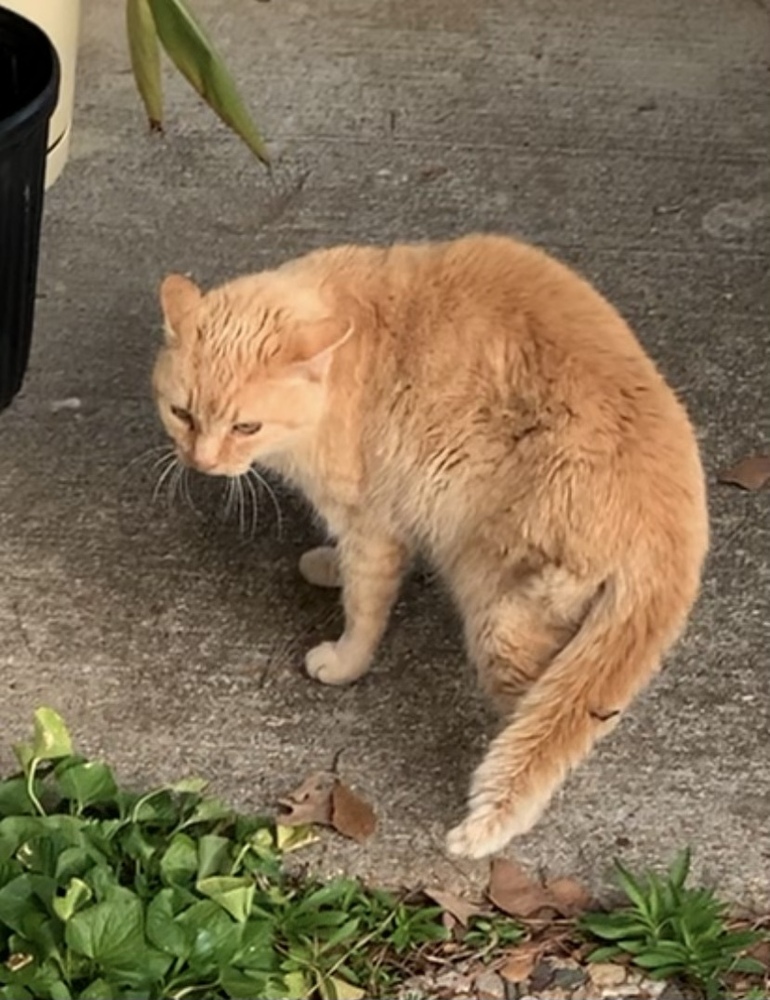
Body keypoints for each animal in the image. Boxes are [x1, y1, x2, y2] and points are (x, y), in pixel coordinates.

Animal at [152, 236, 708, 860]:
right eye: (182, 413)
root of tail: (673, 517)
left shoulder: (371, 525)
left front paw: (343, 658)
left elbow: (364, 608)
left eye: (246, 427)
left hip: (501, 621)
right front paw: (327, 564)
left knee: (548, 716)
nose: (202, 461)